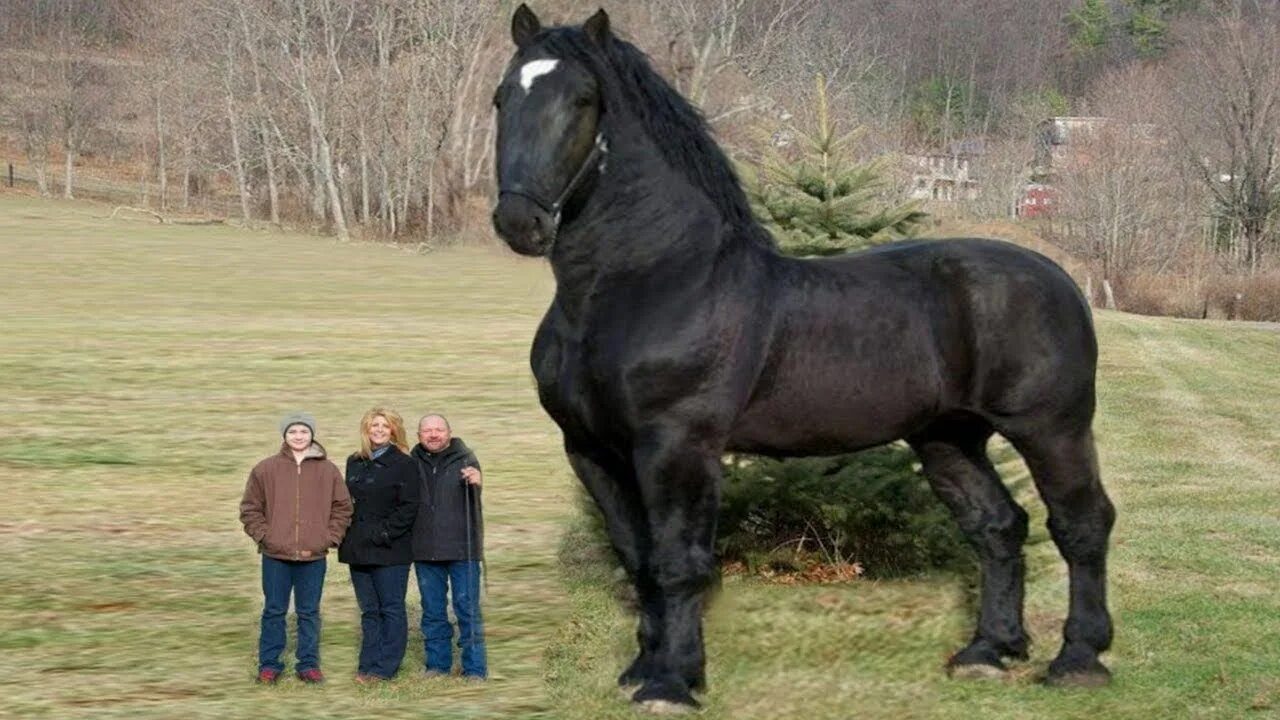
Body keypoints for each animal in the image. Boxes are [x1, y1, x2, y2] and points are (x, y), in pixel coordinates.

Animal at [488, 7, 1111, 712]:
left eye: (583, 100)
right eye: (503, 97)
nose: (520, 222)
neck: (647, 283)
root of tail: (1063, 281)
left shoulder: (677, 445)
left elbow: (679, 562)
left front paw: (673, 682)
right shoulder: (591, 449)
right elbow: (638, 558)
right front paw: (644, 667)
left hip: (1051, 428)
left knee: (1081, 524)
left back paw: (1079, 659)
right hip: (949, 438)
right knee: (999, 526)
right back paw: (988, 651)